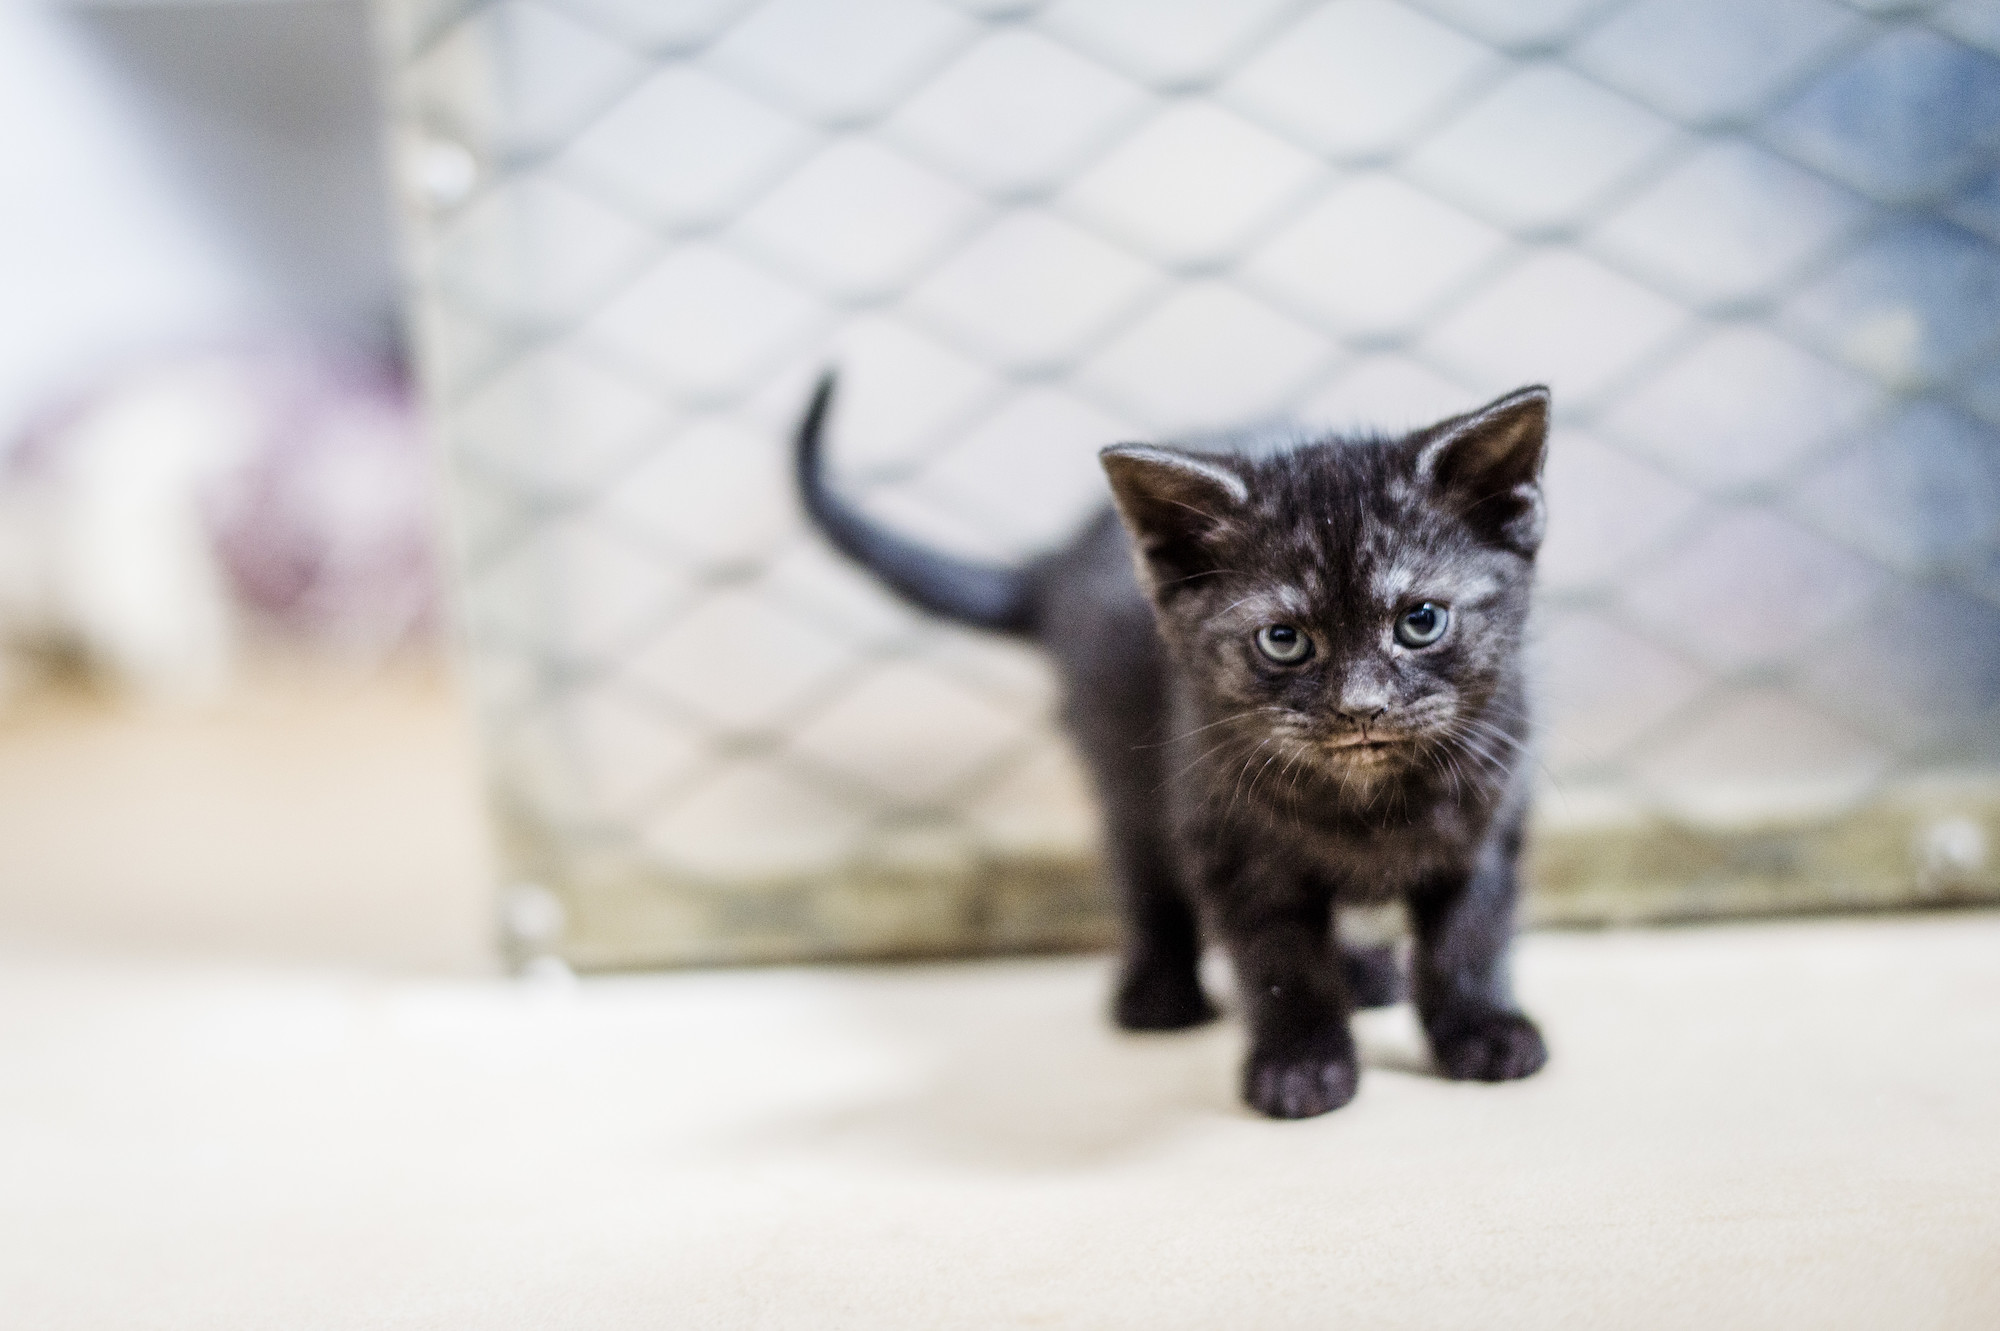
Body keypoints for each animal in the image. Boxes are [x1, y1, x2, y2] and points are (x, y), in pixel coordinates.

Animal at [792, 373, 1544, 1111]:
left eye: (1421, 621)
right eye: (1283, 639)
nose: (1361, 707)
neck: (1362, 804)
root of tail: (1056, 565)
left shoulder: (1487, 828)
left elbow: (1469, 940)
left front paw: (1482, 1029)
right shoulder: (1227, 839)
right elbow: (1278, 959)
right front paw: (1299, 1062)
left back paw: (1359, 972)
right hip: (1123, 766)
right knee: (1145, 875)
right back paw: (1158, 992)